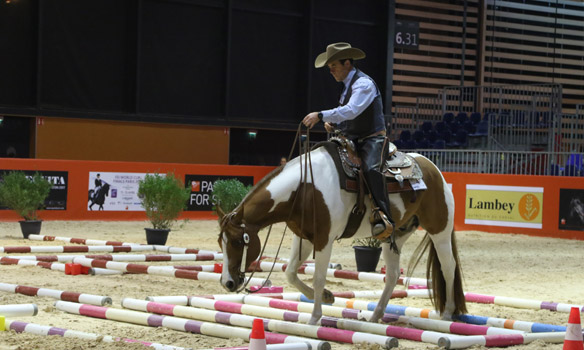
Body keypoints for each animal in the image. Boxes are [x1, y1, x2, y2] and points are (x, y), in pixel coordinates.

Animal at [217, 143, 468, 326]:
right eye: (221, 243)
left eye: (238, 242)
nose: (228, 283)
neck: (303, 188)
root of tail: (434, 169)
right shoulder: (304, 237)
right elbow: (290, 273)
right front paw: (328, 296)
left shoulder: (324, 239)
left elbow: (318, 277)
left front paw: (315, 317)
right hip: (394, 236)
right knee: (393, 274)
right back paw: (375, 315)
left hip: (440, 230)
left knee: (449, 266)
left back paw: (447, 313)